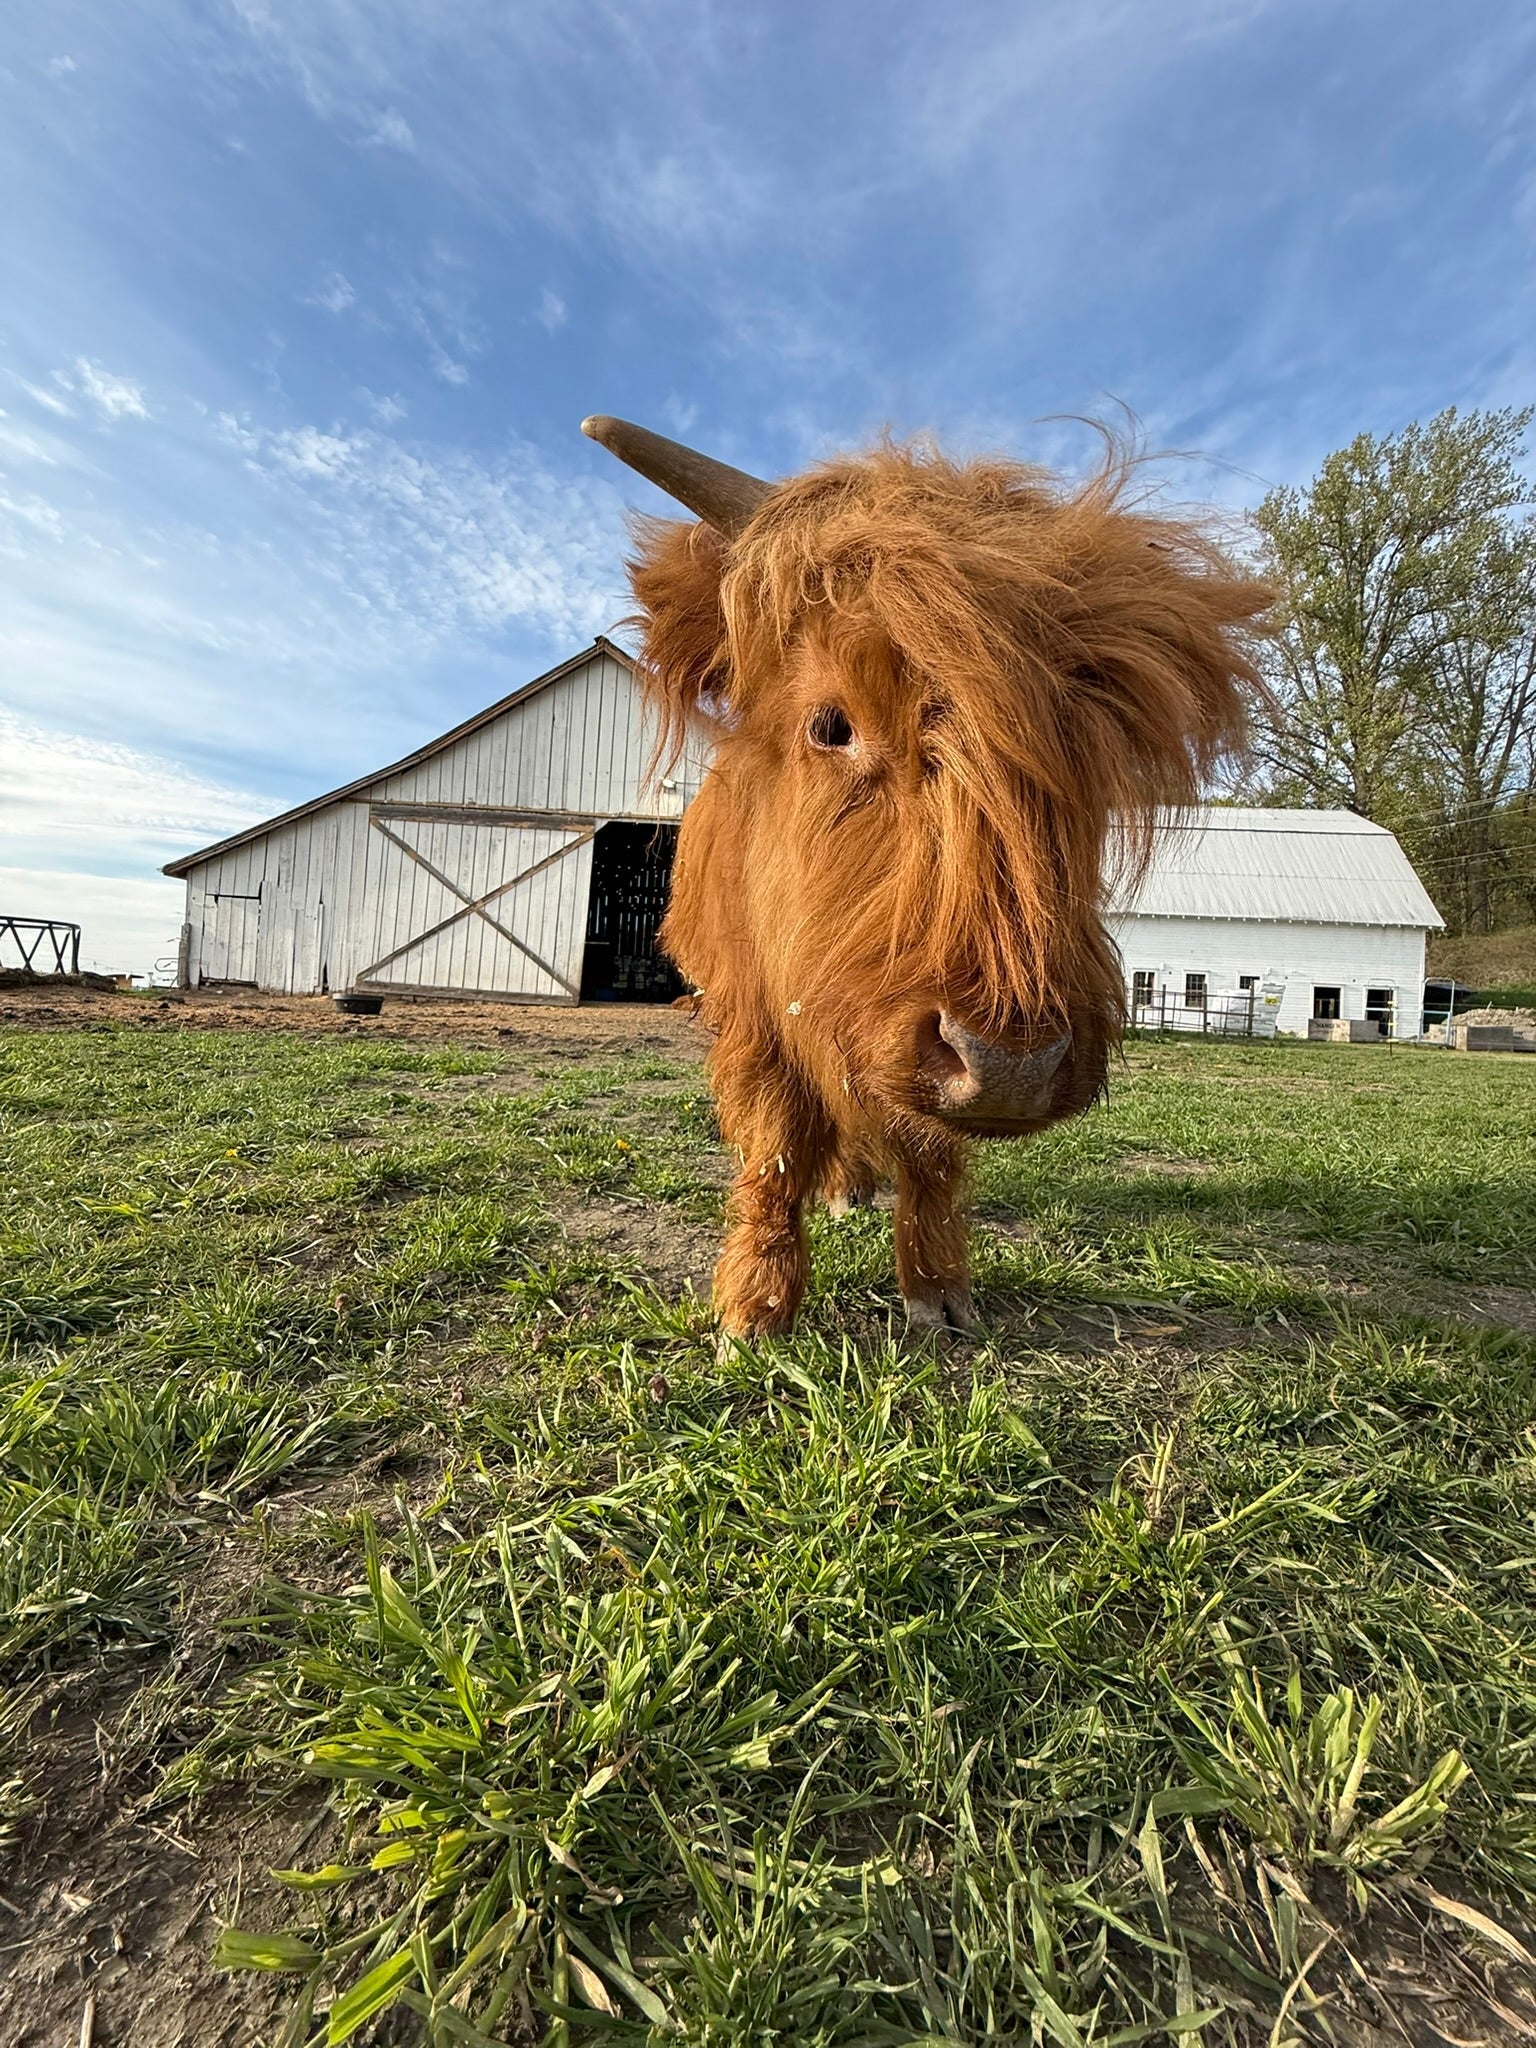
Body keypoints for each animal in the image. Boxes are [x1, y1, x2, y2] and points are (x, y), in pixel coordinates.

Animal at [582, 416, 1266, 1341]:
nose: (1012, 1063)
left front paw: (938, 1292)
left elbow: (931, 1152)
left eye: (1088, 751)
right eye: (832, 725)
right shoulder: (755, 1013)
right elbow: (776, 1145)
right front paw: (754, 1308)